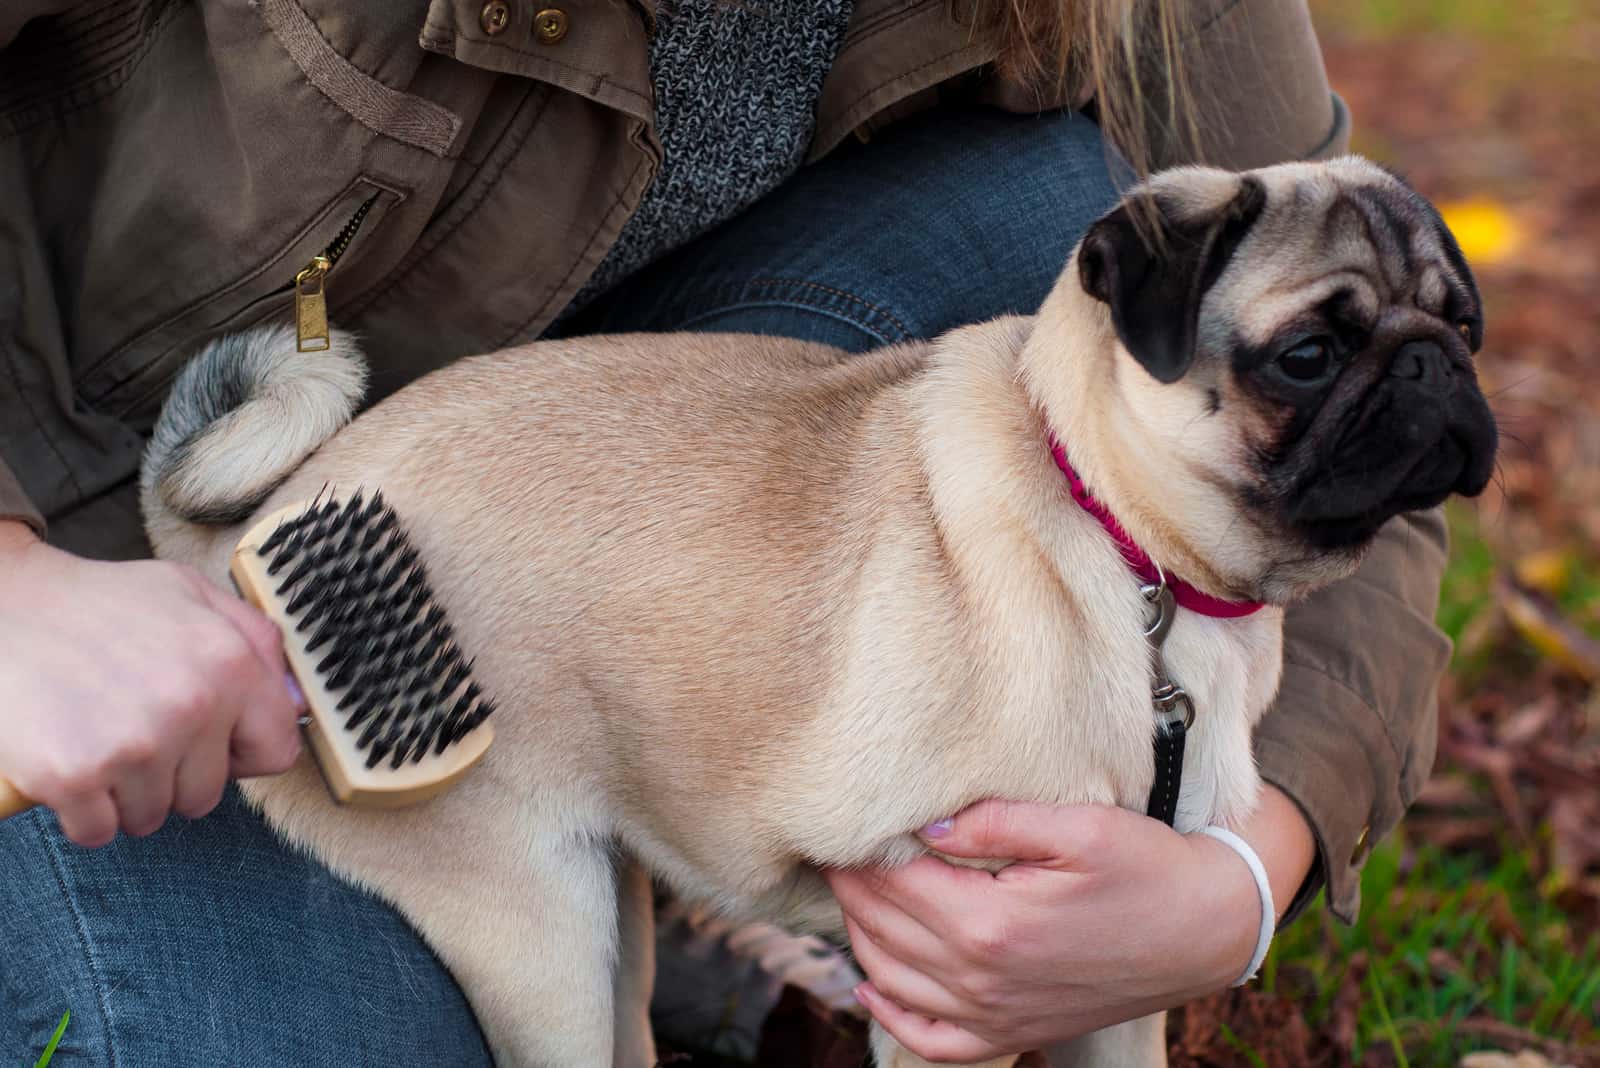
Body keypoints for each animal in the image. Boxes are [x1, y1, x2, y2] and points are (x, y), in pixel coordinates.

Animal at [137, 151, 1497, 1068]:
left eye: (1463, 320)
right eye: (1306, 358)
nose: (1434, 365)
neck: (1123, 544)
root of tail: (256, 540)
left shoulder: (1110, 971)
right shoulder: (946, 978)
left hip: (607, 896)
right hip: (533, 923)